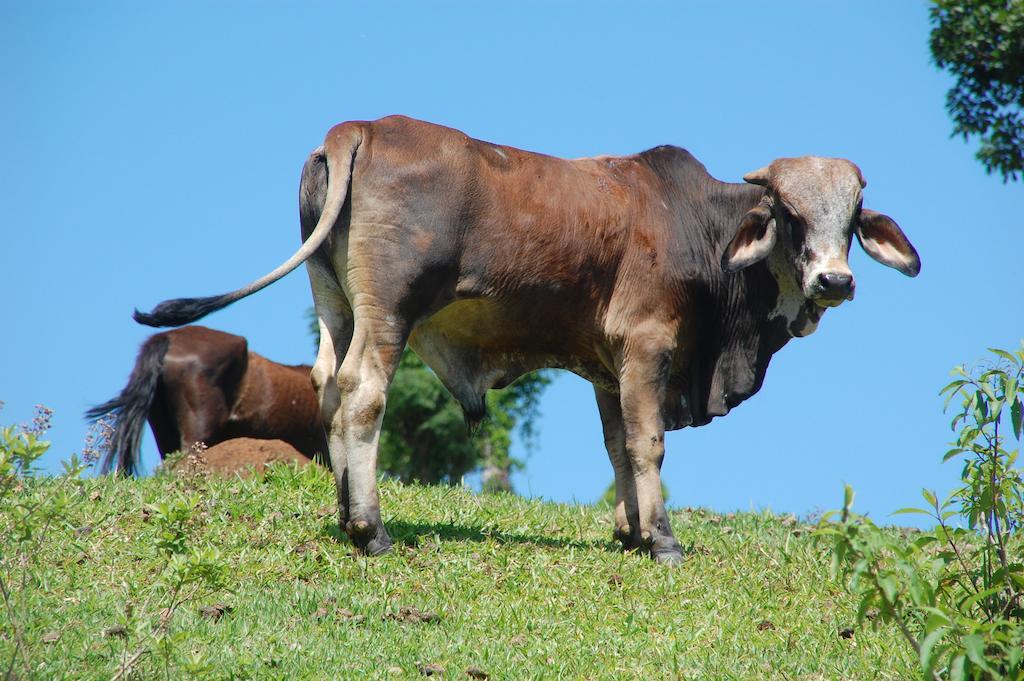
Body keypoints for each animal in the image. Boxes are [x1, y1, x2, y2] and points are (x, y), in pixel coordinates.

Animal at [138, 116, 921, 561]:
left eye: (853, 216)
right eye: (788, 213)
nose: (835, 280)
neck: (697, 226)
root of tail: (356, 129)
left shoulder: (608, 367)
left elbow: (616, 446)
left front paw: (629, 531)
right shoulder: (647, 346)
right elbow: (647, 443)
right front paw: (662, 540)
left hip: (335, 304)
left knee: (327, 387)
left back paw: (341, 512)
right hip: (389, 312)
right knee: (361, 394)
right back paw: (371, 530)